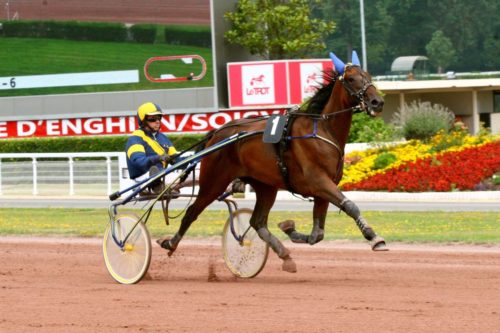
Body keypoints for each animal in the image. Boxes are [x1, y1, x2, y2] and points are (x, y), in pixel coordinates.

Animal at [159, 50, 386, 272]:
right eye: (351, 78)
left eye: (368, 76)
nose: (377, 102)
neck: (322, 130)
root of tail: (218, 132)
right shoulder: (318, 181)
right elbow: (350, 206)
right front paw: (374, 237)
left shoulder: (325, 187)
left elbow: (317, 234)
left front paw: (290, 229)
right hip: (214, 181)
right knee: (192, 211)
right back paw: (170, 243)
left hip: (265, 185)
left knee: (257, 222)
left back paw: (285, 255)